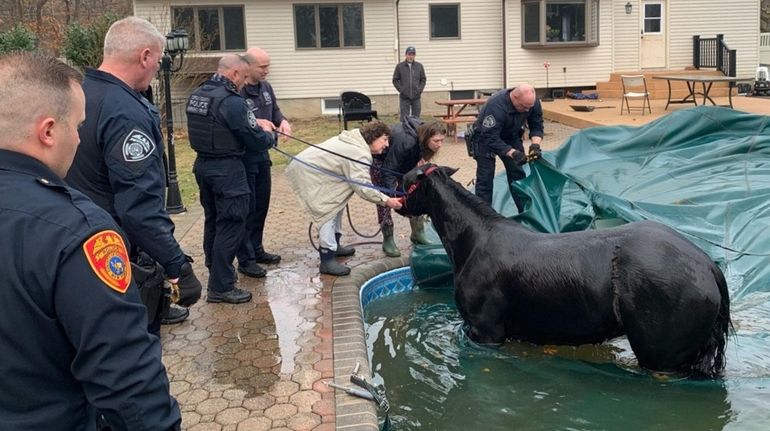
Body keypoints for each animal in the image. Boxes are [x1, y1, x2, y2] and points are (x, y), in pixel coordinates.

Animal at [400, 165, 728, 378]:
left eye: (407, 184)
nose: (397, 202)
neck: (477, 240)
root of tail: (707, 264)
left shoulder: (485, 332)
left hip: (660, 359)